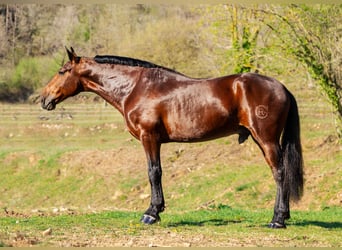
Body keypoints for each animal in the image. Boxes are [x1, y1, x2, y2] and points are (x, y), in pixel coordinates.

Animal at [40, 47, 304, 229]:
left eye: (62, 71)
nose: (44, 98)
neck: (135, 87)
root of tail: (281, 87)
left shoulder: (149, 138)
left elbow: (153, 172)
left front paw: (151, 213)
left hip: (267, 140)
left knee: (280, 173)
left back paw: (277, 219)